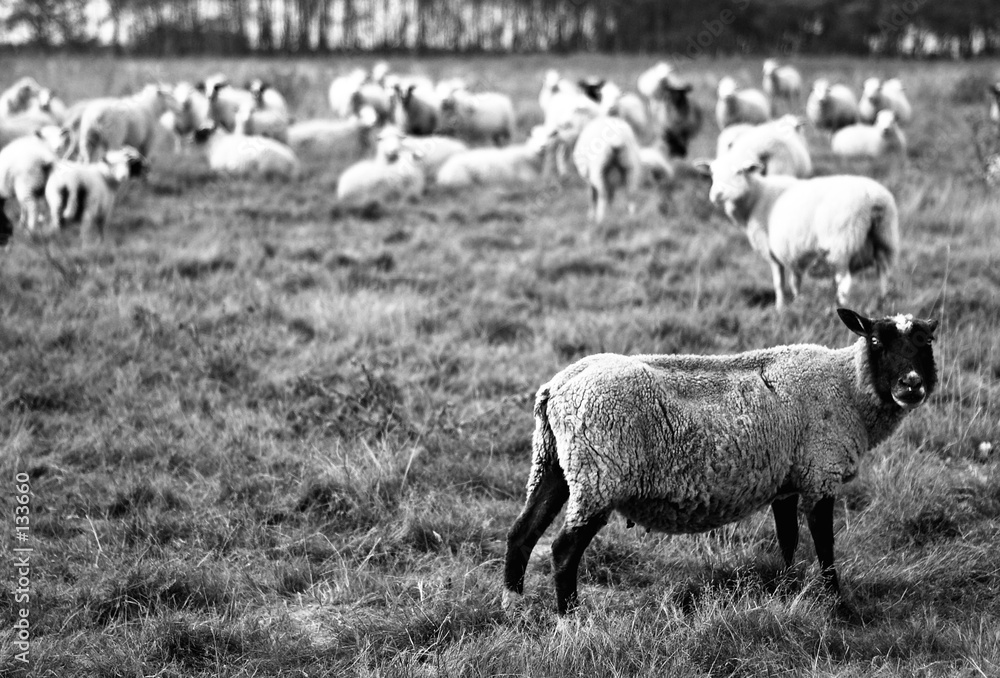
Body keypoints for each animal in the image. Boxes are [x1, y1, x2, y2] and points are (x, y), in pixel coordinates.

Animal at [503, 306, 939, 615]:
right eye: (876, 341)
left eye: (926, 341)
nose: (911, 385)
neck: (846, 387)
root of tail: (557, 387)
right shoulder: (820, 473)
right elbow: (825, 545)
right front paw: (836, 603)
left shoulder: (786, 480)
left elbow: (788, 538)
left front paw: (787, 590)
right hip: (598, 475)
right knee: (563, 549)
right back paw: (570, 619)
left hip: (555, 464)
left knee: (521, 533)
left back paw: (513, 608)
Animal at [699, 154, 898, 309]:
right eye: (712, 173)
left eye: (739, 171)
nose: (717, 194)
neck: (755, 198)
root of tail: (874, 199)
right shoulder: (796, 252)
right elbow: (795, 280)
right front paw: (798, 302)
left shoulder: (771, 252)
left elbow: (779, 283)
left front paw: (780, 308)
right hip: (885, 239)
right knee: (884, 274)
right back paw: (884, 304)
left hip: (841, 243)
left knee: (844, 283)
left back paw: (841, 307)